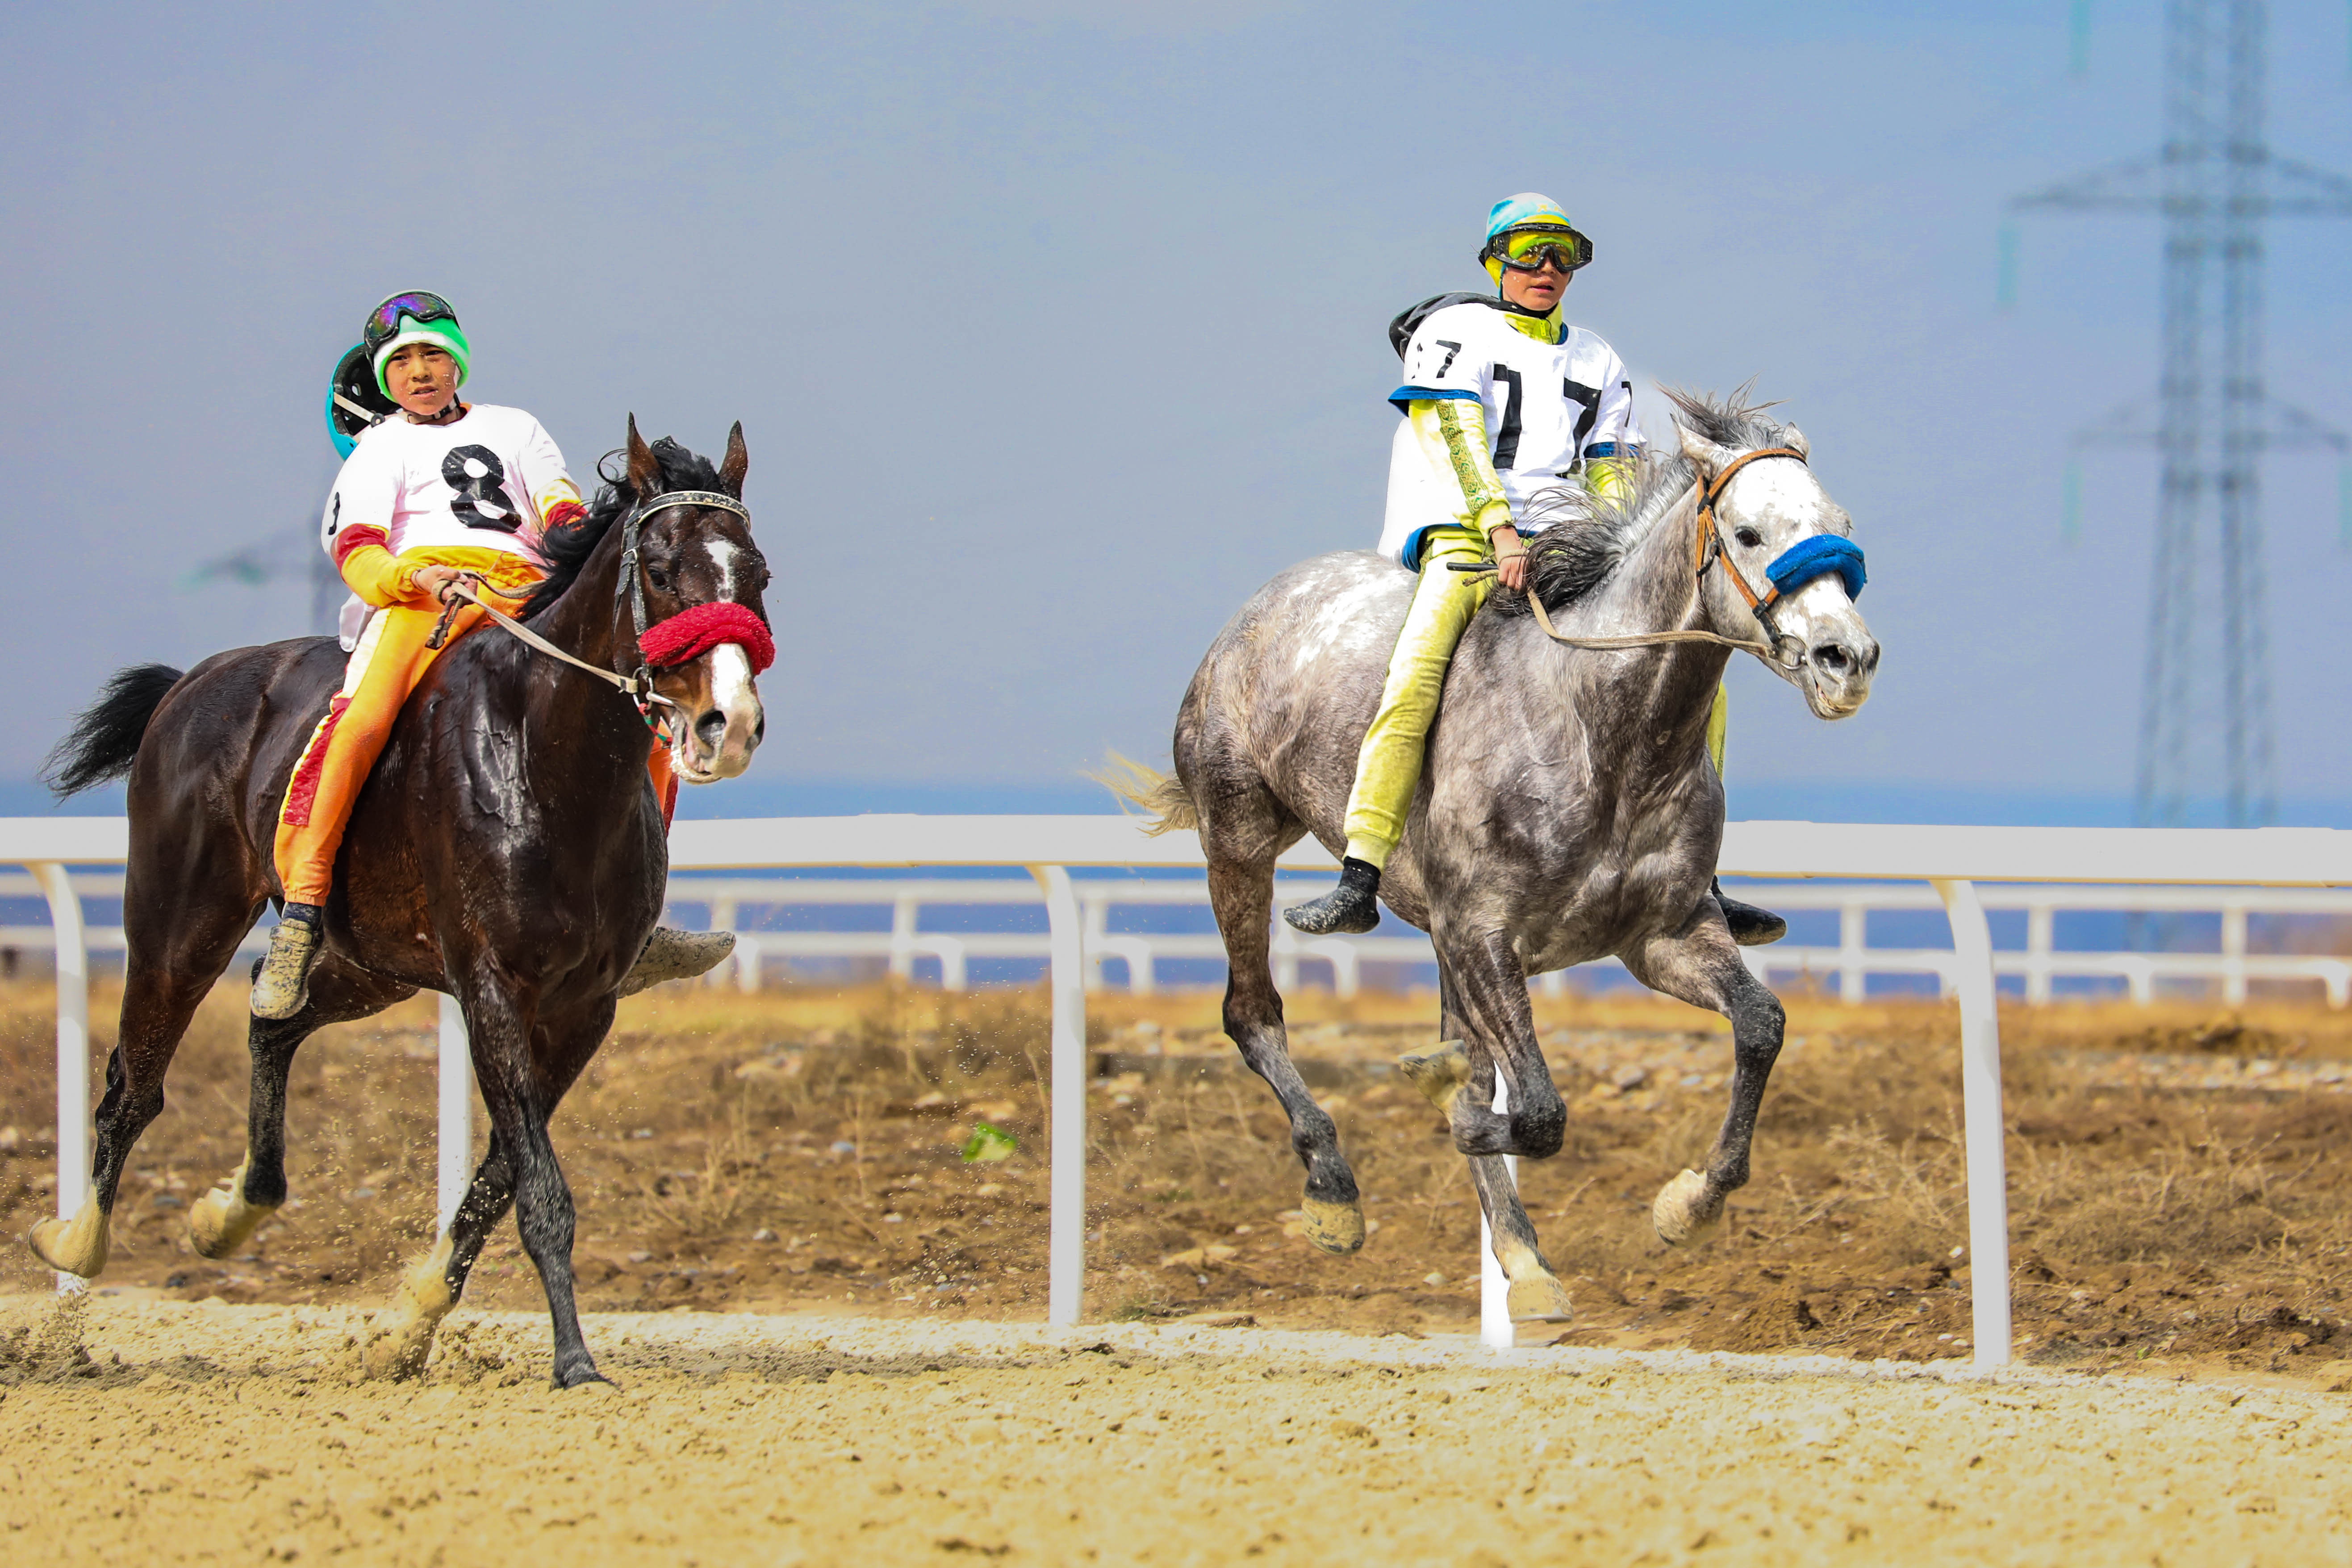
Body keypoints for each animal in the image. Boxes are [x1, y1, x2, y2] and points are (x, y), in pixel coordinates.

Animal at [32, 423, 767, 1392]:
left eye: (757, 573)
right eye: (658, 566)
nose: (730, 723)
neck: (546, 756)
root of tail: (189, 682)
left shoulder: (583, 1007)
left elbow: (498, 1179)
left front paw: (410, 1322)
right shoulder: (492, 985)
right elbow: (538, 1185)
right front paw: (574, 1361)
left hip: (371, 964)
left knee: (275, 1021)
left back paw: (235, 1207)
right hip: (177, 923)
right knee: (133, 1088)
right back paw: (74, 1247)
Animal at [1120, 393, 1872, 1325]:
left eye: (1840, 525)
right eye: (1747, 532)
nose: (1848, 660)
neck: (1602, 733)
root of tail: (1264, 602)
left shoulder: (1661, 937)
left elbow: (1760, 1026)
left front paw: (1689, 1205)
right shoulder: (1481, 933)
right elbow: (1534, 1110)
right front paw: (1439, 1104)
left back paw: (1523, 1258)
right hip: (1237, 839)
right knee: (1251, 1013)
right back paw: (1333, 1188)